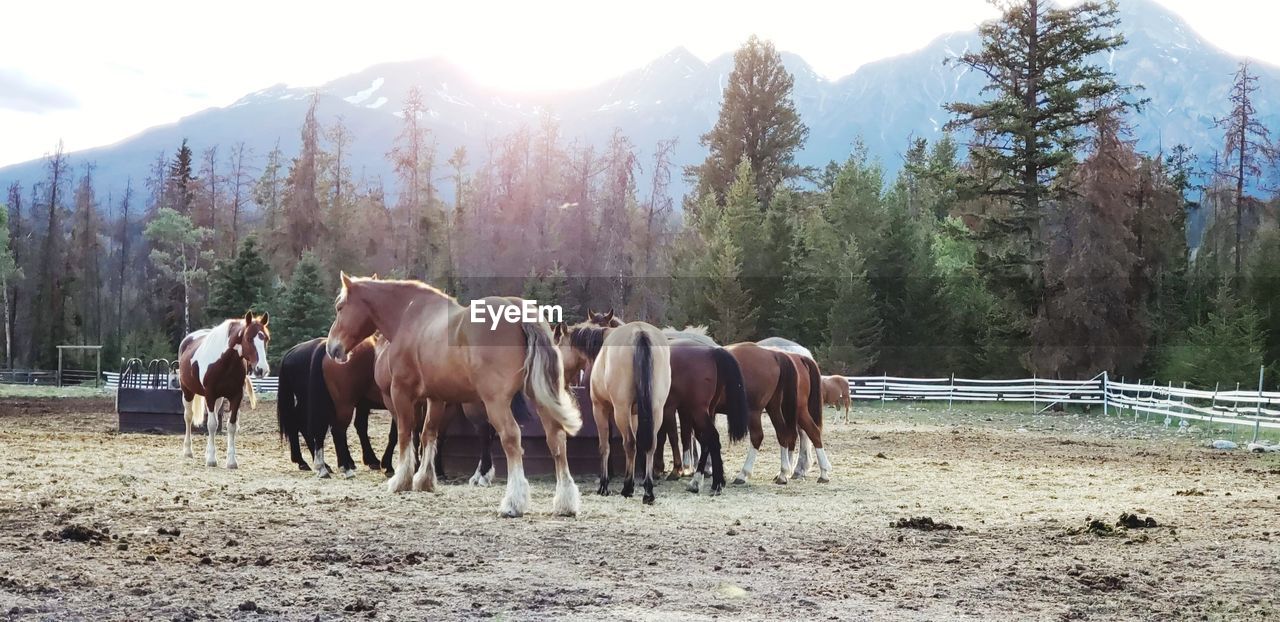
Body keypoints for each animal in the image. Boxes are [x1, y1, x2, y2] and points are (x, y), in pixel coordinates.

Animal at [179, 313, 271, 468]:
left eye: (266, 338)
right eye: (248, 338)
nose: (261, 369)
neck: (225, 362)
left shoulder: (236, 396)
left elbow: (231, 425)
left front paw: (231, 461)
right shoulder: (210, 395)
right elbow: (211, 424)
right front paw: (211, 460)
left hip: (219, 399)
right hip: (187, 392)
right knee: (188, 417)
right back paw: (187, 451)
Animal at [325, 275, 581, 517]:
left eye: (340, 307)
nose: (332, 348)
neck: (408, 317)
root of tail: (516, 310)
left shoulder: (401, 393)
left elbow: (405, 433)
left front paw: (401, 480)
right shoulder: (436, 398)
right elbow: (429, 434)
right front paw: (424, 480)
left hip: (496, 403)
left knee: (511, 438)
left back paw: (513, 502)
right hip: (540, 398)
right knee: (556, 438)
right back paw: (565, 502)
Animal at [563, 318, 680, 501]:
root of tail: (640, 332)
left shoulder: (600, 409)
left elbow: (604, 447)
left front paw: (604, 485)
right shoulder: (634, 414)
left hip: (620, 410)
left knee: (630, 443)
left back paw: (627, 488)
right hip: (656, 410)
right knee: (649, 445)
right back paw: (648, 490)